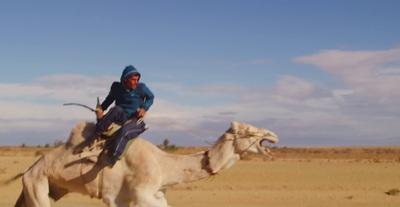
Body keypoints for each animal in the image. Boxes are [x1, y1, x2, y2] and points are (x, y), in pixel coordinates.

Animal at [9, 120, 278, 206]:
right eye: (248, 130)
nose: (272, 135)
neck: (163, 164)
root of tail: (28, 170)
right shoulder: (136, 196)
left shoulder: (153, 195)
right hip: (37, 185)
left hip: (45, 188)